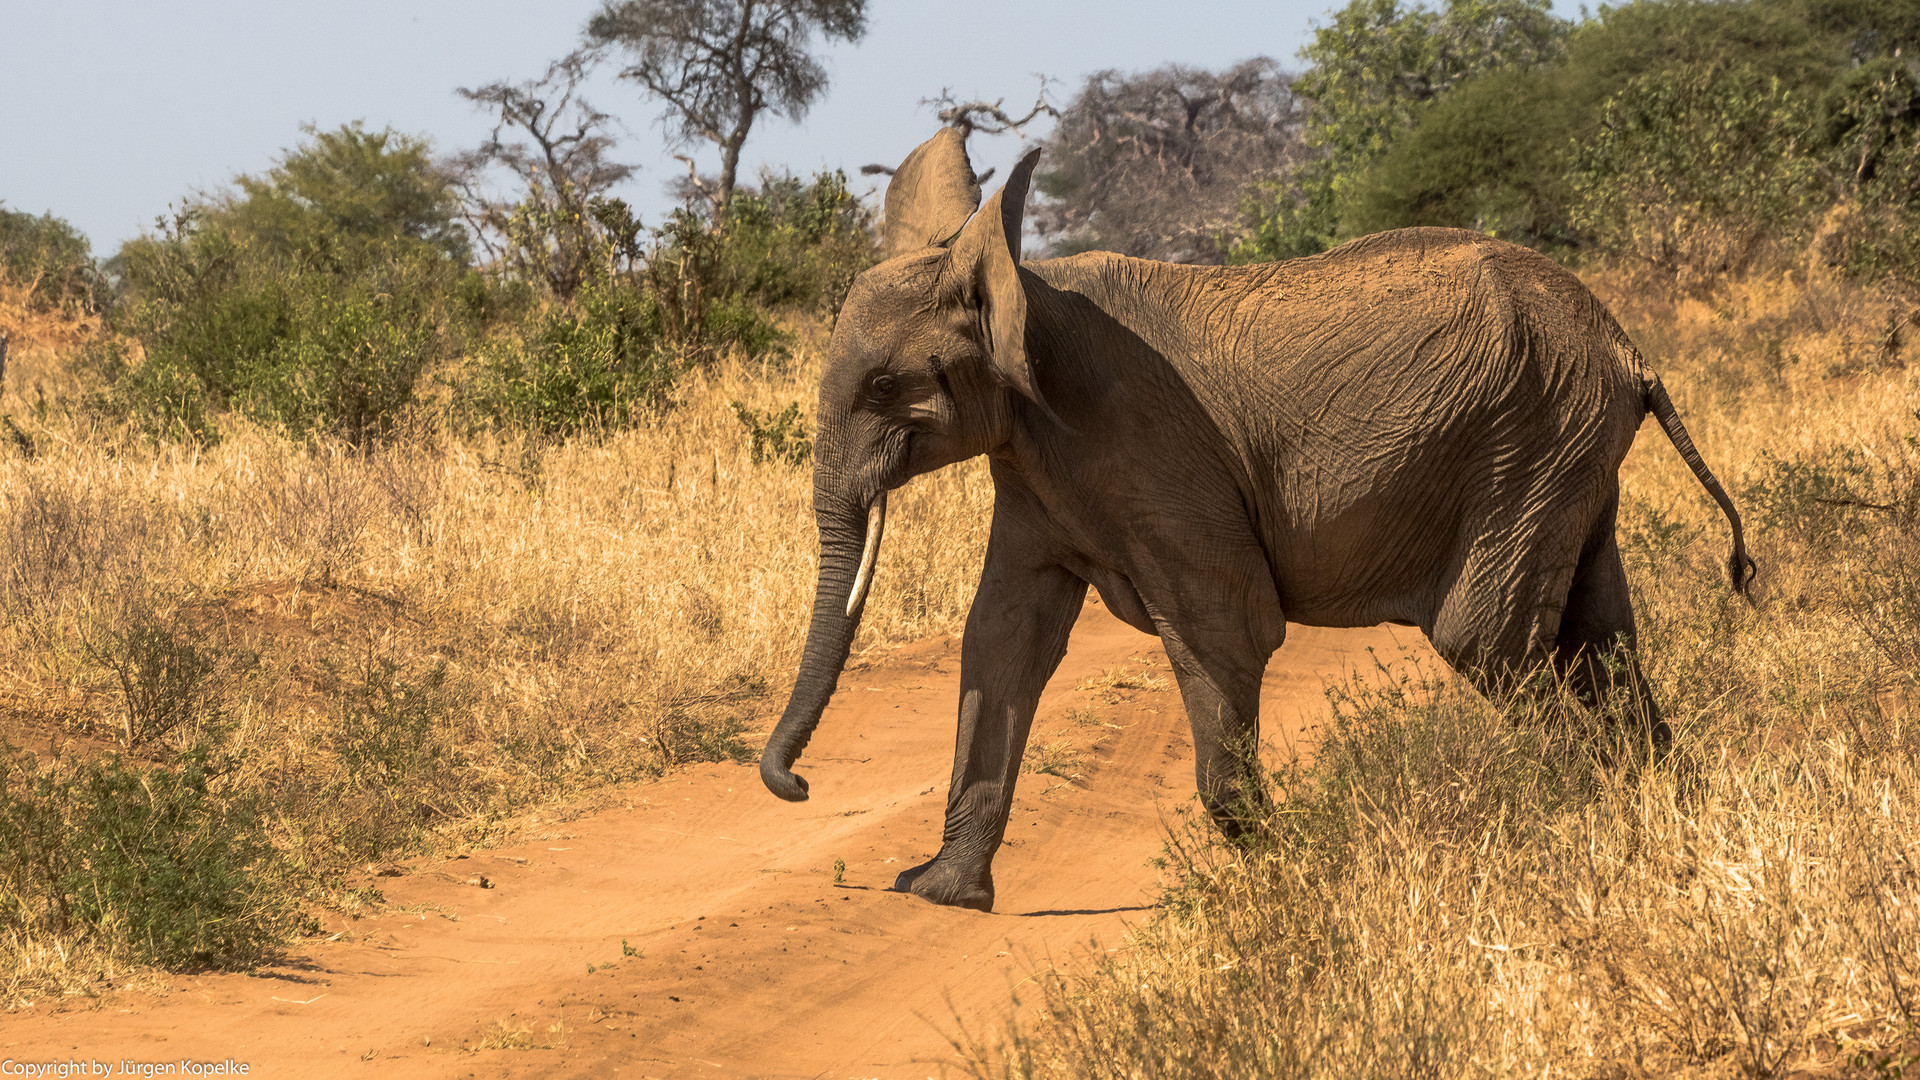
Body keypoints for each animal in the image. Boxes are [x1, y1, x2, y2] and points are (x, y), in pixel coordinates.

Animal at [752, 130, 1758, 910]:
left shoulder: (1148, 446)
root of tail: (1628, 346)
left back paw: (1576, 814)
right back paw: (1661, 807)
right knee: (1602, 642)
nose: (796, 785)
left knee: (1490, 642)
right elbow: (1004, 636)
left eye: (885, 387)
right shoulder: (1035, 464)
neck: (1024, 285)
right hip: (1568, 452)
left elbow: (1223, 630)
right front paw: (939, 894)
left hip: (1533, 436)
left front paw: (1292, 872)